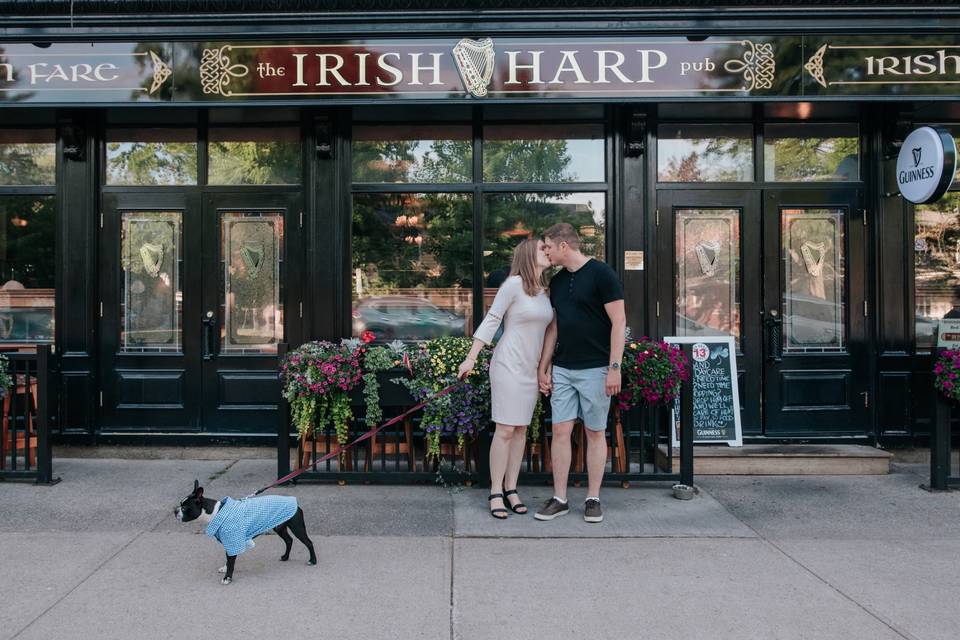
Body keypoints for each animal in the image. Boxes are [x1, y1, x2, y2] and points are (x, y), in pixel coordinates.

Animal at [174, 480, 316, 584]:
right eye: (180, 504)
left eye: (185, 508)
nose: (175, 510)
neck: (215, 512)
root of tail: (295, 502)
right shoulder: (229, 542)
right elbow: (228, 558)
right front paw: (225, 568)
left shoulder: (233, 541)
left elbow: (231, 561)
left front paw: (227, 578)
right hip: (279, 527)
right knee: (289, 540)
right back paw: (285, 557)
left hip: (297, 527)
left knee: (308, 542)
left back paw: (312, 561)